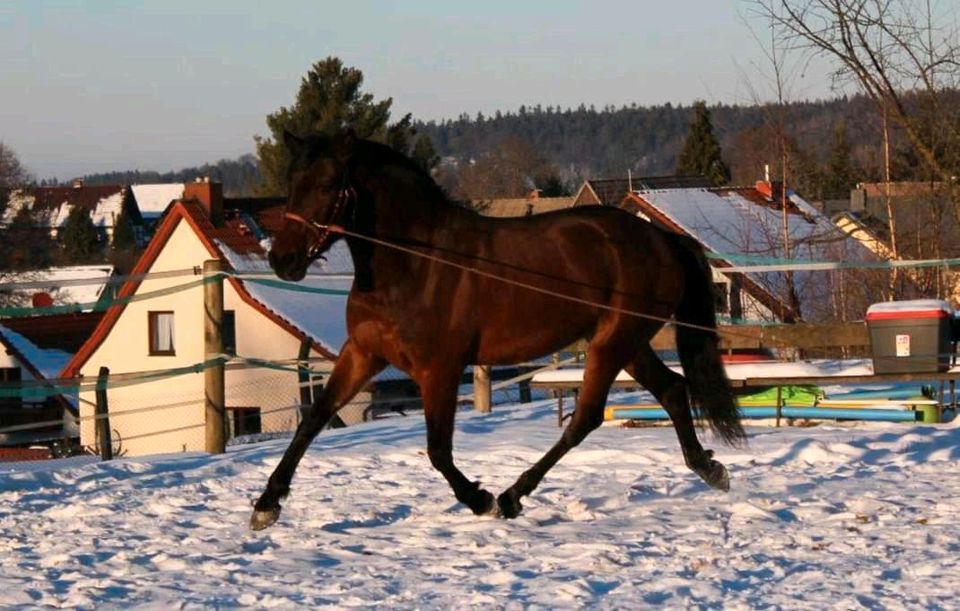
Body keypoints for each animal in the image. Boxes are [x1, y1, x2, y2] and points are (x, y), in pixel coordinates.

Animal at [248, 130, 744, 532]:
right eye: (292, 184)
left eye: (328, 185)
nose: (282, 260)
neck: (414, 263)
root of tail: (663, 239)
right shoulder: (364, 354)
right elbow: (313, 419)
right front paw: (266, 505)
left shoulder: (440, 369)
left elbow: (437, 449)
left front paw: (480, 499)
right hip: (629, 343)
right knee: (672, 390)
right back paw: (709, 469)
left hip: (614, 341)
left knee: (585, 417)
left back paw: (510, 496)